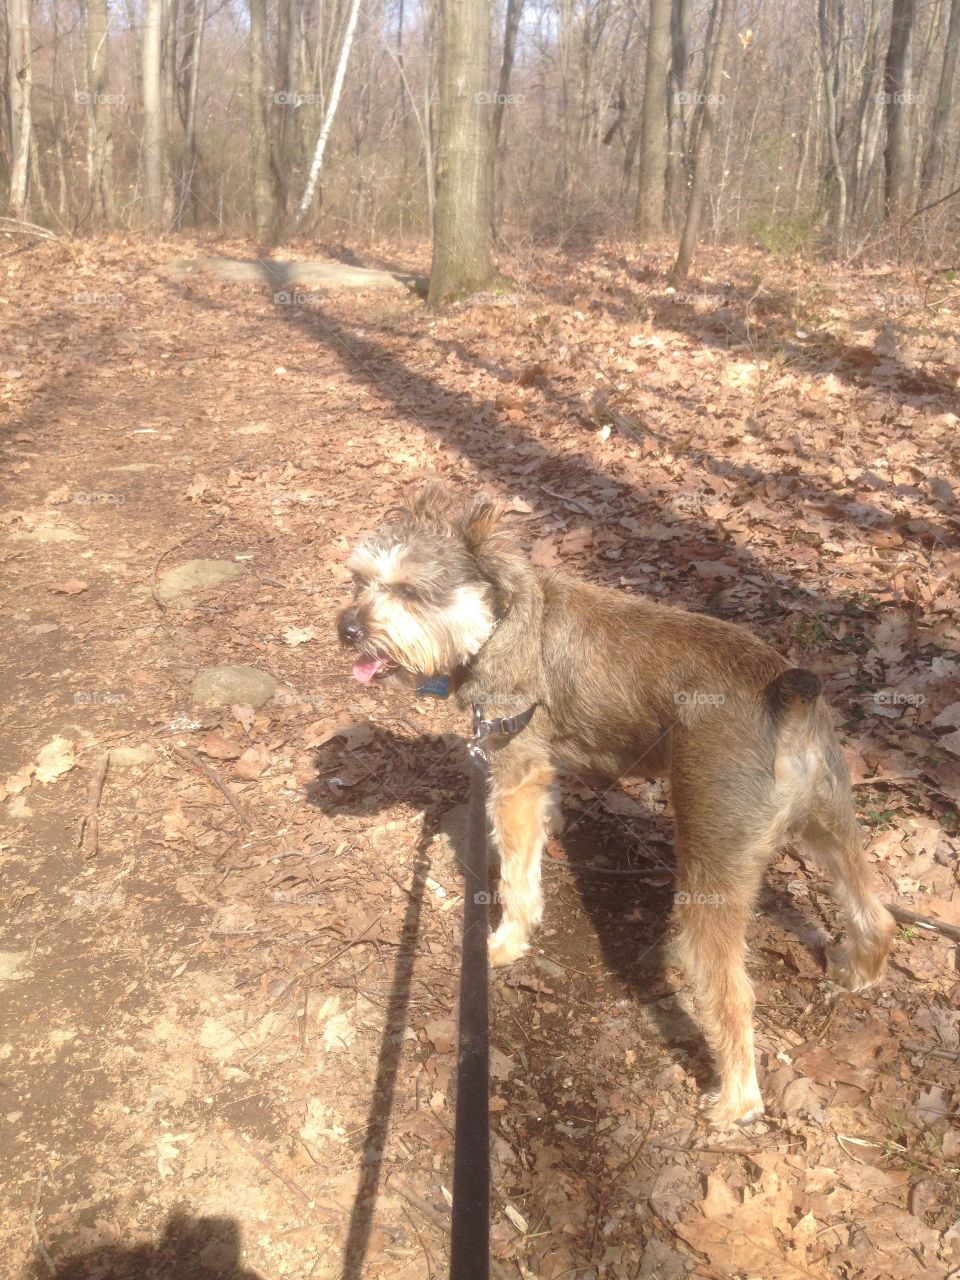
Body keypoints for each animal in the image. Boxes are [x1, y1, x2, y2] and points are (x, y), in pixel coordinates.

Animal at [335, 483, 901, 1126]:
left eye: (408, 590)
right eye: (358, 580)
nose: (347, 628)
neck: (502, 618)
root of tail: (787, 699)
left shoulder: (514, 774)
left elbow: (516, 877)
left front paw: (503, 944)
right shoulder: (537, 772)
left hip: (710, 874)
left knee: (733, 995)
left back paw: (735, 1103)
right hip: (831, 824)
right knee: (873, 912)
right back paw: (859, 975)